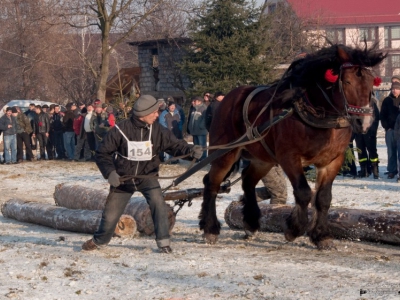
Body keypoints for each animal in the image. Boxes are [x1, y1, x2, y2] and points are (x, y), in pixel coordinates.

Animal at [202, 42, 386, 248]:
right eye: (347, 82)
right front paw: (294, 228)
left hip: (263, 159)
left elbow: (323, 197)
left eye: (370, 82)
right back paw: (210, 228)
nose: (365, 122)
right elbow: (304, 192)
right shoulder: (289, 157)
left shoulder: (333, 160)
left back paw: (250, 222)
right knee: (212, 183)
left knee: (247, 180)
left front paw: (321, 235)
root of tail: (229, 97)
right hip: (225, 152)